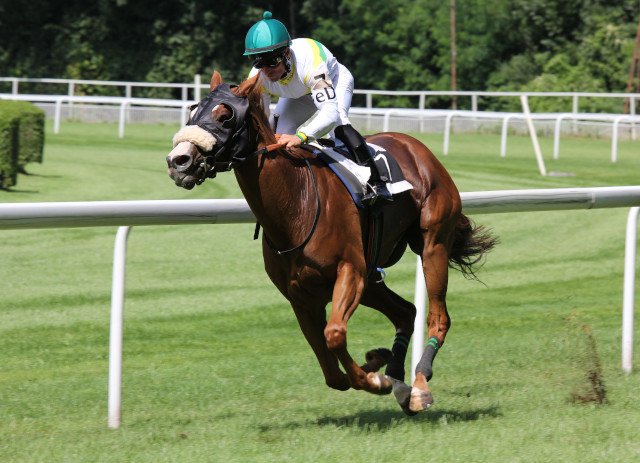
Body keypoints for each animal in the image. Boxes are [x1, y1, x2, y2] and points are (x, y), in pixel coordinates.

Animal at [165, 72, 496, 416]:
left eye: (225, 116)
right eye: (193, 110)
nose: (178, 161)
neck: (296, 204)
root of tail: (417, 147)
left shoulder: (350, 271)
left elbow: (334, 335)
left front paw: (375, 379)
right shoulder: (300, 296)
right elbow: (330, 369)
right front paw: (377, 364)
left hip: (432, 244)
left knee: (438, 317)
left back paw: (419, 386)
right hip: (372, 278)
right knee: (406, 312)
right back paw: (398, 380)